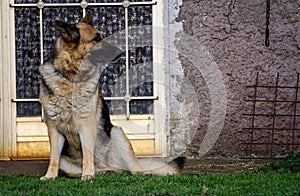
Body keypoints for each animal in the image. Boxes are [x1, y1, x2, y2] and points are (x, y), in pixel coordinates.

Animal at [38, 12, 184, 181]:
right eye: (96, 39)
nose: (121, 52)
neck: (71, 78)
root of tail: (108, 164)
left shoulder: (87, 125)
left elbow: (87, 153)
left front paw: (87, 174)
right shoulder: (54, 129)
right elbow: (53, 158)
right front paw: (50, 176)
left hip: (117, 133)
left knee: (133, 167)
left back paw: (134, 173)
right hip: (69, 164)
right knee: (99, 168)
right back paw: (103, 172)